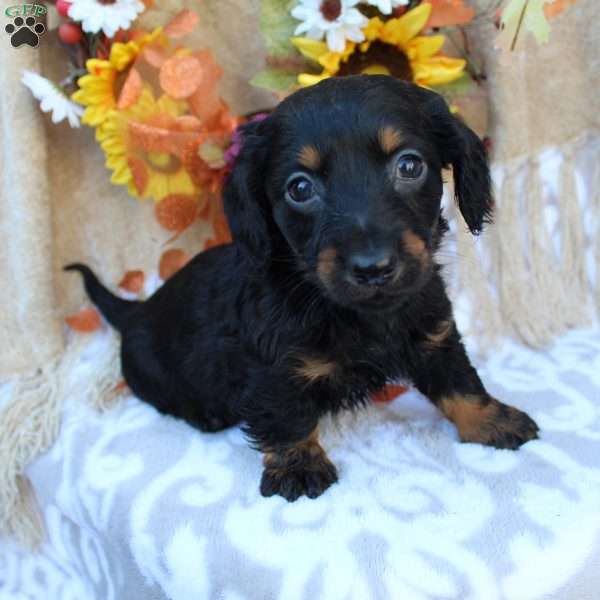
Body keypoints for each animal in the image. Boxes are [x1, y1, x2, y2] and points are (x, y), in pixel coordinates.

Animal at [67, 77, 540, 504]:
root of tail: (137, 311)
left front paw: (492, 420)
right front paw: (298, 466)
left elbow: (460, 382)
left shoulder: (433, 333)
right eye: (299, 187)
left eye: (409, 166)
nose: (373, 268)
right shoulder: (273, 367)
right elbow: (287, 415)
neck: (350, 310)